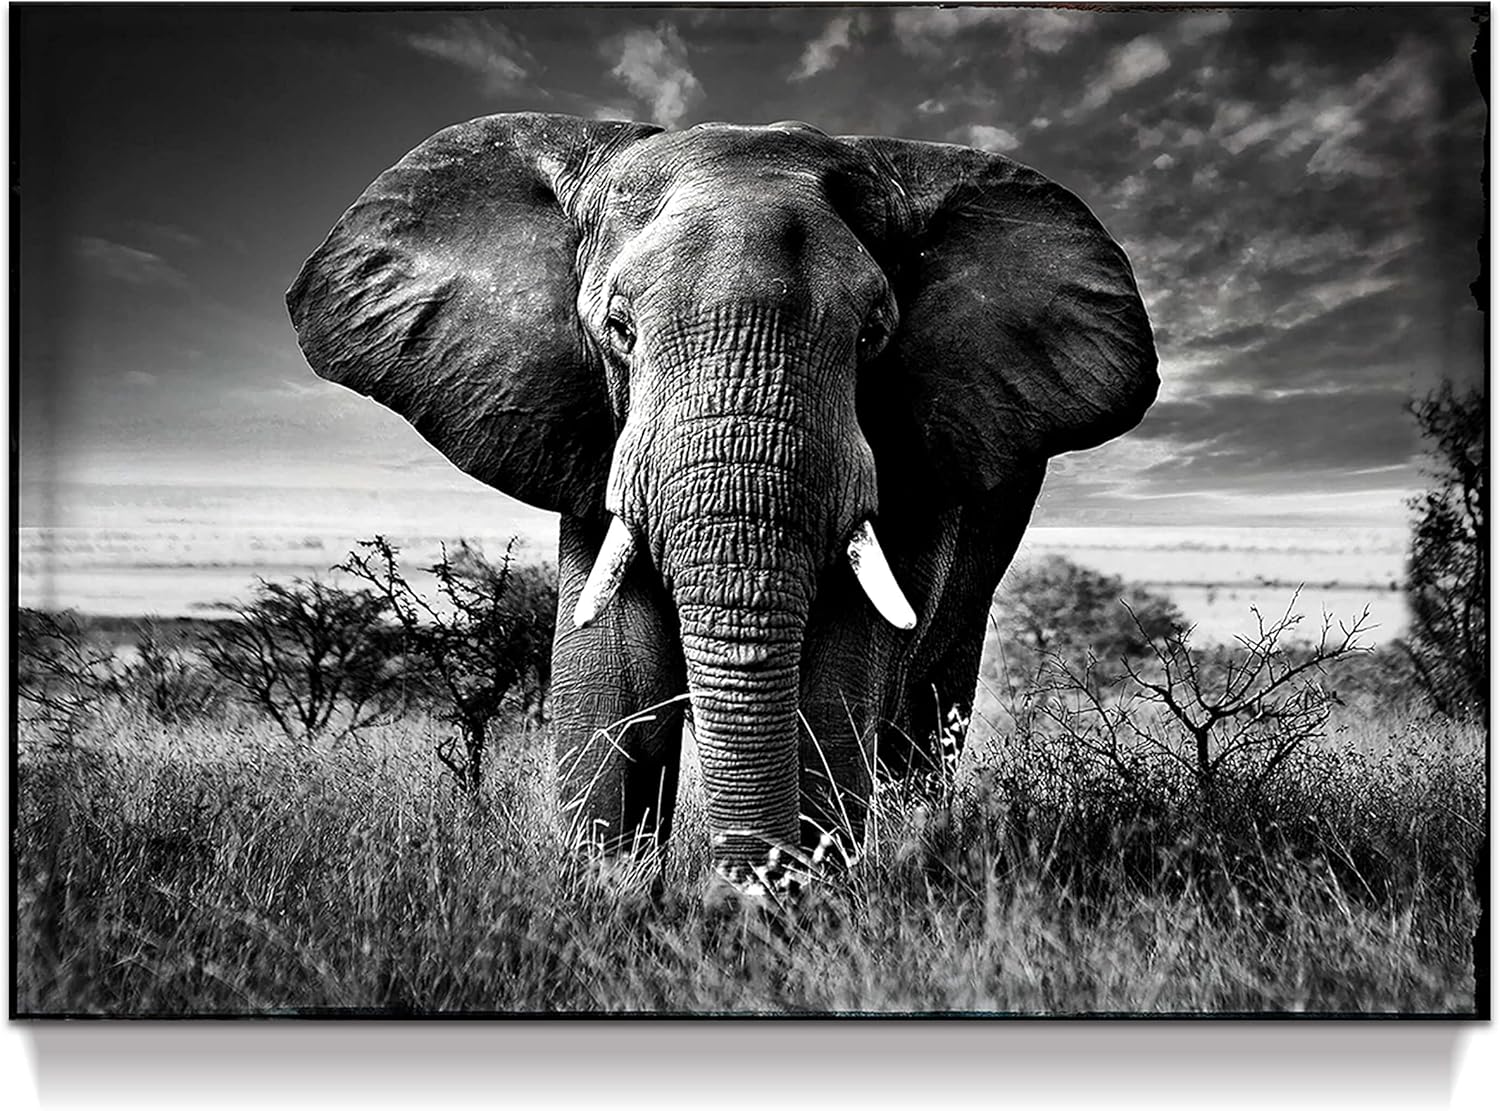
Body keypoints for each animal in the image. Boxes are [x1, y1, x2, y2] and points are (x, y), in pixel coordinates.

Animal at [287, 113, 1157, 876]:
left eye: (873, 336)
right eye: (619, 331)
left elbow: (838, 678)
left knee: (928, 708)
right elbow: (611, 673)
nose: (739, 891)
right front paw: (612, 908)